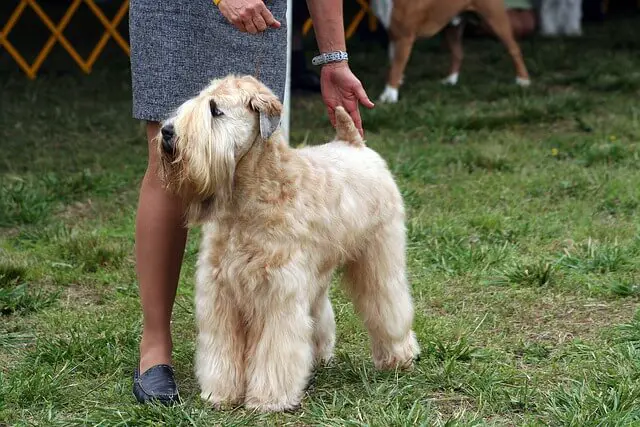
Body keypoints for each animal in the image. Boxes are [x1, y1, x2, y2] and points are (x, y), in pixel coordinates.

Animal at [378, 0, 532, 103]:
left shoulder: (404, 38)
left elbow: (396, 67)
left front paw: (390, 95)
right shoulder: (393, 36)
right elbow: (393, 65)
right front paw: (397, 83)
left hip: (496, 20)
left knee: (514, 49)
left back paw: (523, 80)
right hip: (452, 27)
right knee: (458, 54)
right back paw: (451, 80)